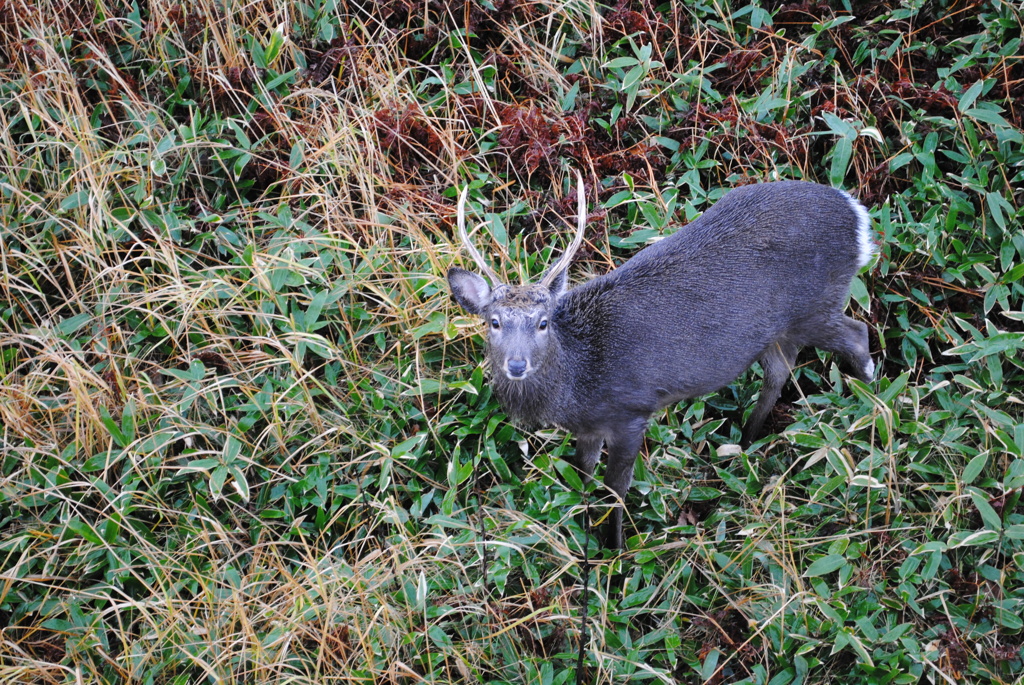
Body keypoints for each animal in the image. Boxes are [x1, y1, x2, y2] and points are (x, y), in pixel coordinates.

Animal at [450, 174, 880, 548]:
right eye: (493, 322)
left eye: (542, 322)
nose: (516, 365)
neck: (579, 379)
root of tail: (857, 213)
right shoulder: (588, 427)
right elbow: (583, 478)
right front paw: (586, 534)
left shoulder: (631, 410)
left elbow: (615, 489)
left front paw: (615, 552)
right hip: (779, 329)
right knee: (779, 370)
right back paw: (745, 444)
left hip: (815, 306)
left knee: (858, 335)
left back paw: (873, 412)